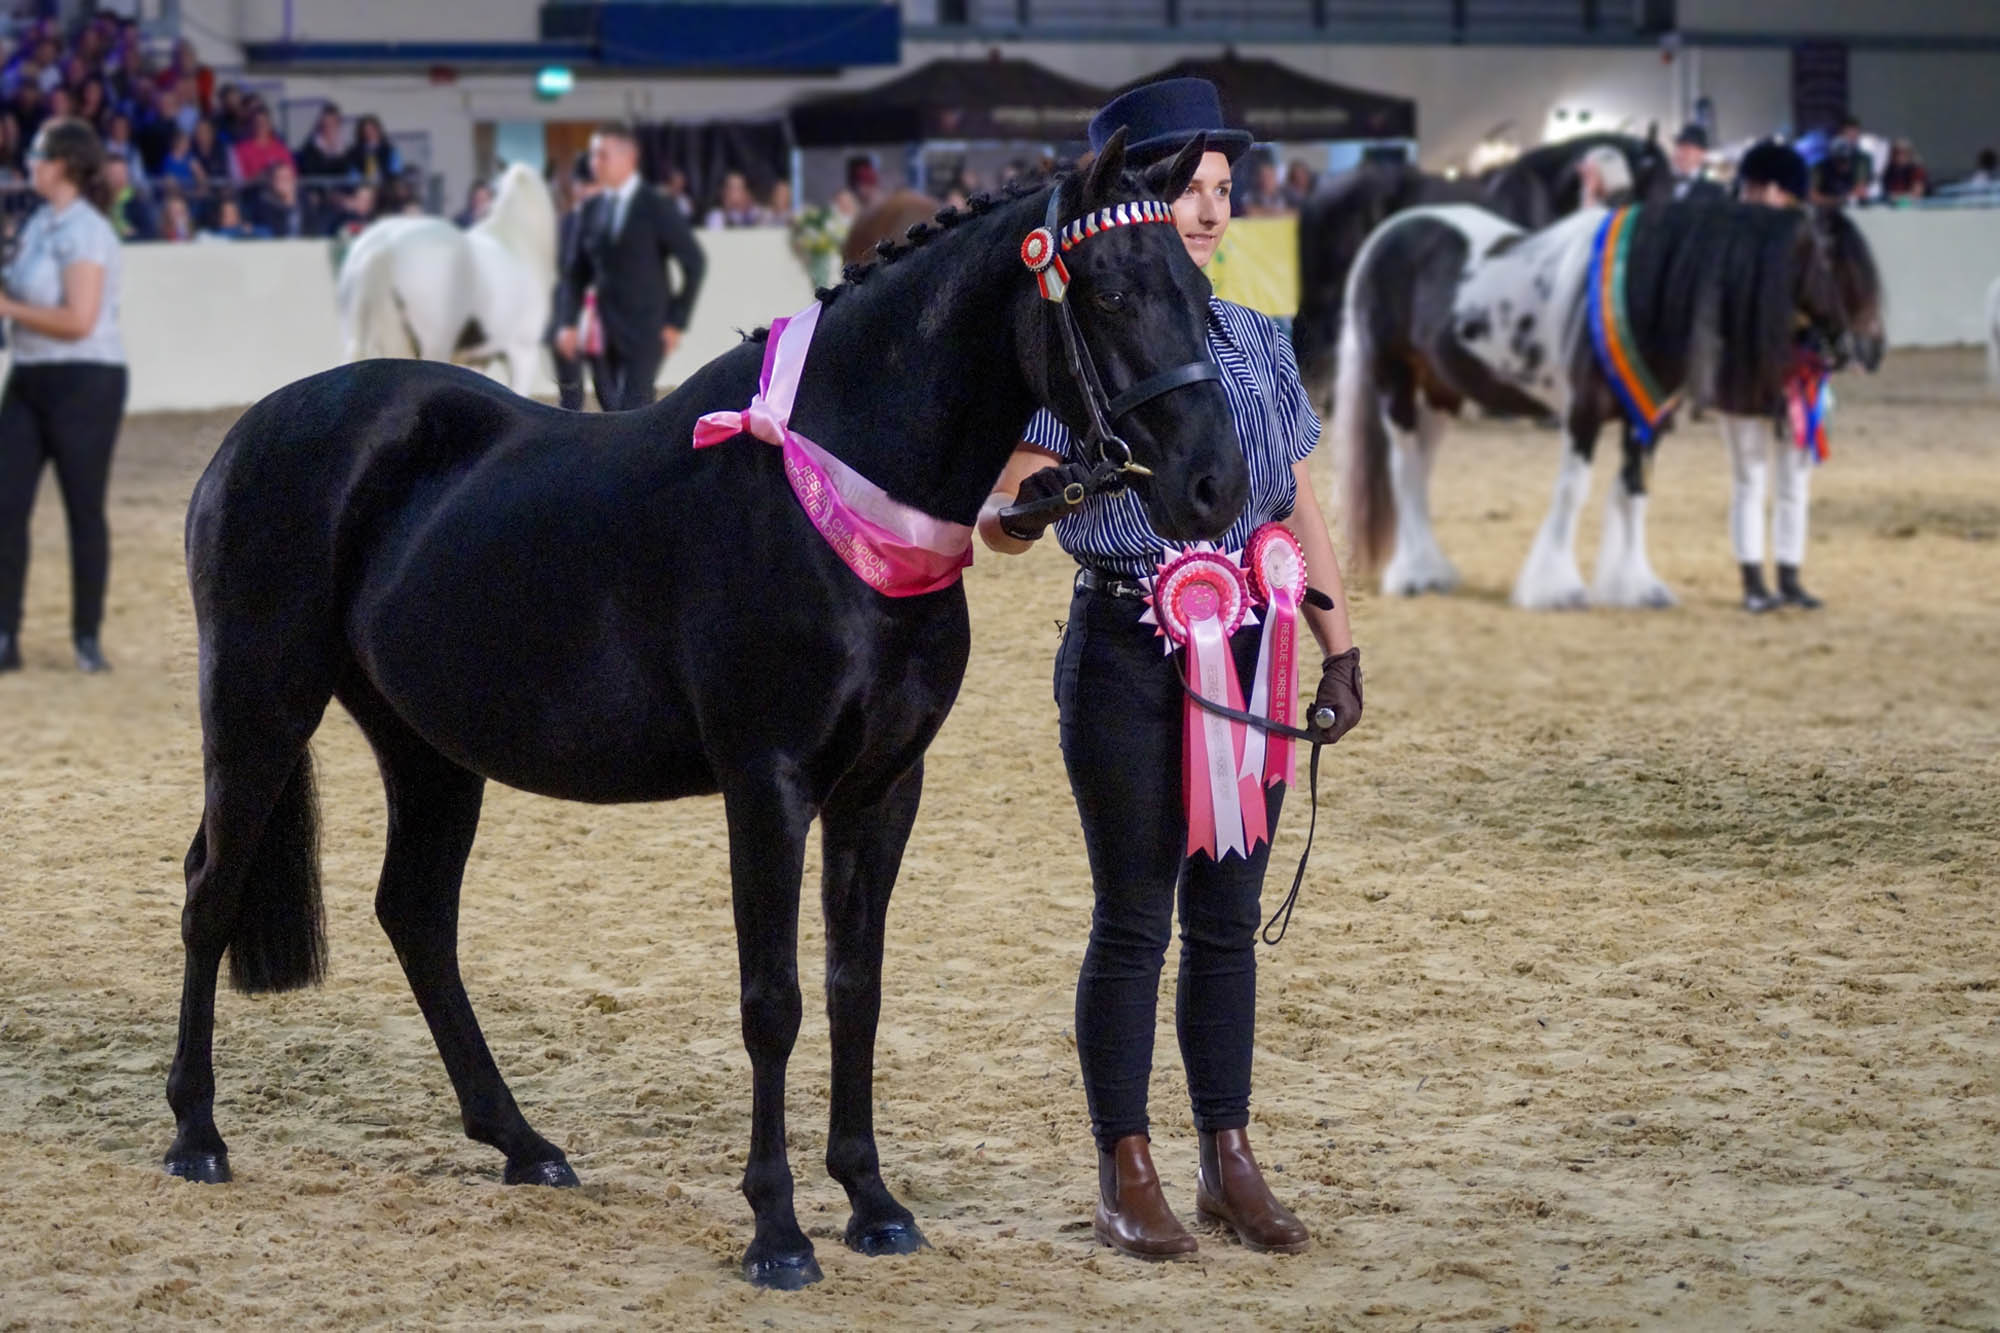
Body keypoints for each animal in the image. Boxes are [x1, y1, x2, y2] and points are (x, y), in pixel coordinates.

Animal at [1336, 197, 1880, 608]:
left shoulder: (1647, 420)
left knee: (1419, 476)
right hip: (1395, 386)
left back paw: (1431, 568)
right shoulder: (1584, 416)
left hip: (1440, 395)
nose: (1871, 349)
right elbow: (1573, 491)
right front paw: (1555, 588)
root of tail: (1387, 234)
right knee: (1404, 472)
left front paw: (1635, 587)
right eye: (1833, 263)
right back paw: (1413, 576)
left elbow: (1632, 493)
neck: (1642, 294)